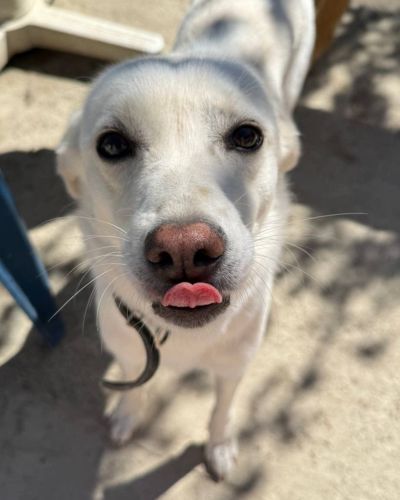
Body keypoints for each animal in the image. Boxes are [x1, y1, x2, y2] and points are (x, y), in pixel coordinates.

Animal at [57, 0, 315, 480]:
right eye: (112, 145)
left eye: (247, 136)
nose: (184, 249)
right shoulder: (128, 352)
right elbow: (134, 386)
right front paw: (127, 415)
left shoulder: (234, 366)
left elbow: (222, 410)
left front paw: (219, 447)